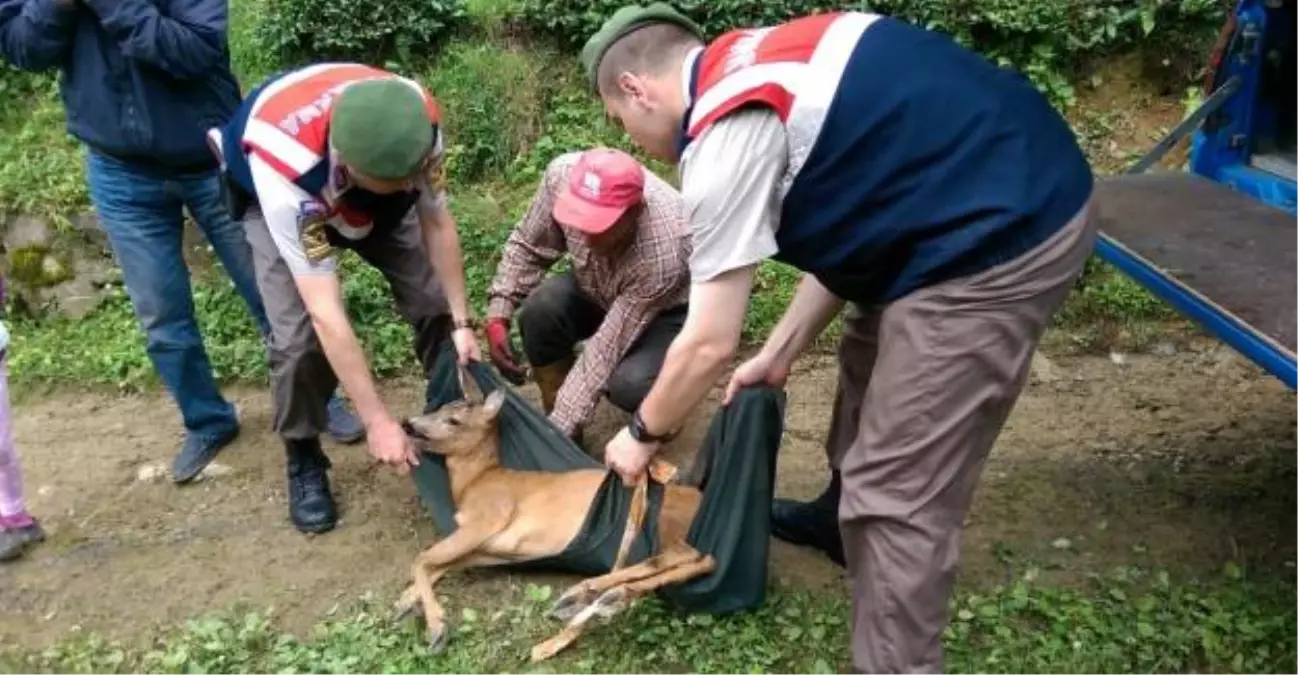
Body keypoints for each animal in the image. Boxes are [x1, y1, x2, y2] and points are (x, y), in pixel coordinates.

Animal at [397, 373, 721, 664]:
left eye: (454, 420)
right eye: (437, 407)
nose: (407, 424)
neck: (473, 483)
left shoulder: (489, 516)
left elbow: (422, 558)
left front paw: (436, 627)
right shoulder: (493, 548)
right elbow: (443, 563)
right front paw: (405, 601)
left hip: (666, 516)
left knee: (686, 555)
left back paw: (585, 591)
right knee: (699, 561)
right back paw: (603, 597)